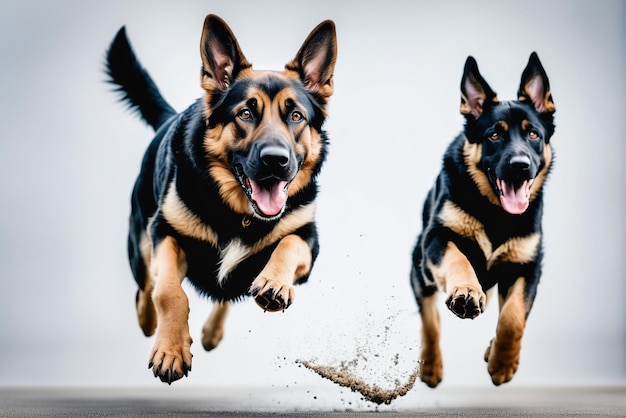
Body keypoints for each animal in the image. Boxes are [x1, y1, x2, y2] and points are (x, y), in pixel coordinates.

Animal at [105, 14, 336, 384]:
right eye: (245, 113)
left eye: (296, 116)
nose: (276, 161)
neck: (238, 213)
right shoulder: (165, 234)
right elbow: (169, 292)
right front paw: (170, 350)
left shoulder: (308, 241)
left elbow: (287, 244)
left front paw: (274, 283)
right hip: (140, 245)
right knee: (146, 286)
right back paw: (148, 320)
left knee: (225, 293)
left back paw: (213, 331)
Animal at [412, 53, 552, 388]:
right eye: (494, 135)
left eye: (533, 134)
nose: (520, 166)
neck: (496, 213)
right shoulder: (437, 240)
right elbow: (458, 260)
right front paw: (466, 292)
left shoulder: (527, 266)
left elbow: (514, 316)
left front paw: (502, 362)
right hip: (419, 269)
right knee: (430, 318)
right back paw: (431, 365)